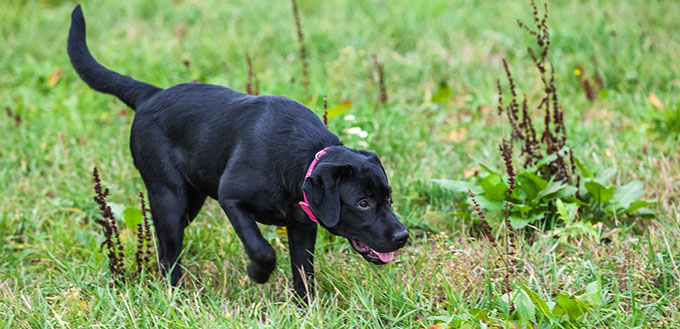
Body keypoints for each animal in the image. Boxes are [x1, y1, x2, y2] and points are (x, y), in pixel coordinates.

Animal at [67, 5, 410, 302]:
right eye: (363, 203)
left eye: (389, 198)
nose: (403, 236)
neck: (299, 163)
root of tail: (151, 95)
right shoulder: (231, 199)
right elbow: (262, 249)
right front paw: (258, 274)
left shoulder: (302, 224)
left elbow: (304, 270)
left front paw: (306, 308)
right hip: (169, 195)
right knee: (169, 251)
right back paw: (176, 296)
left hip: (191, 199)